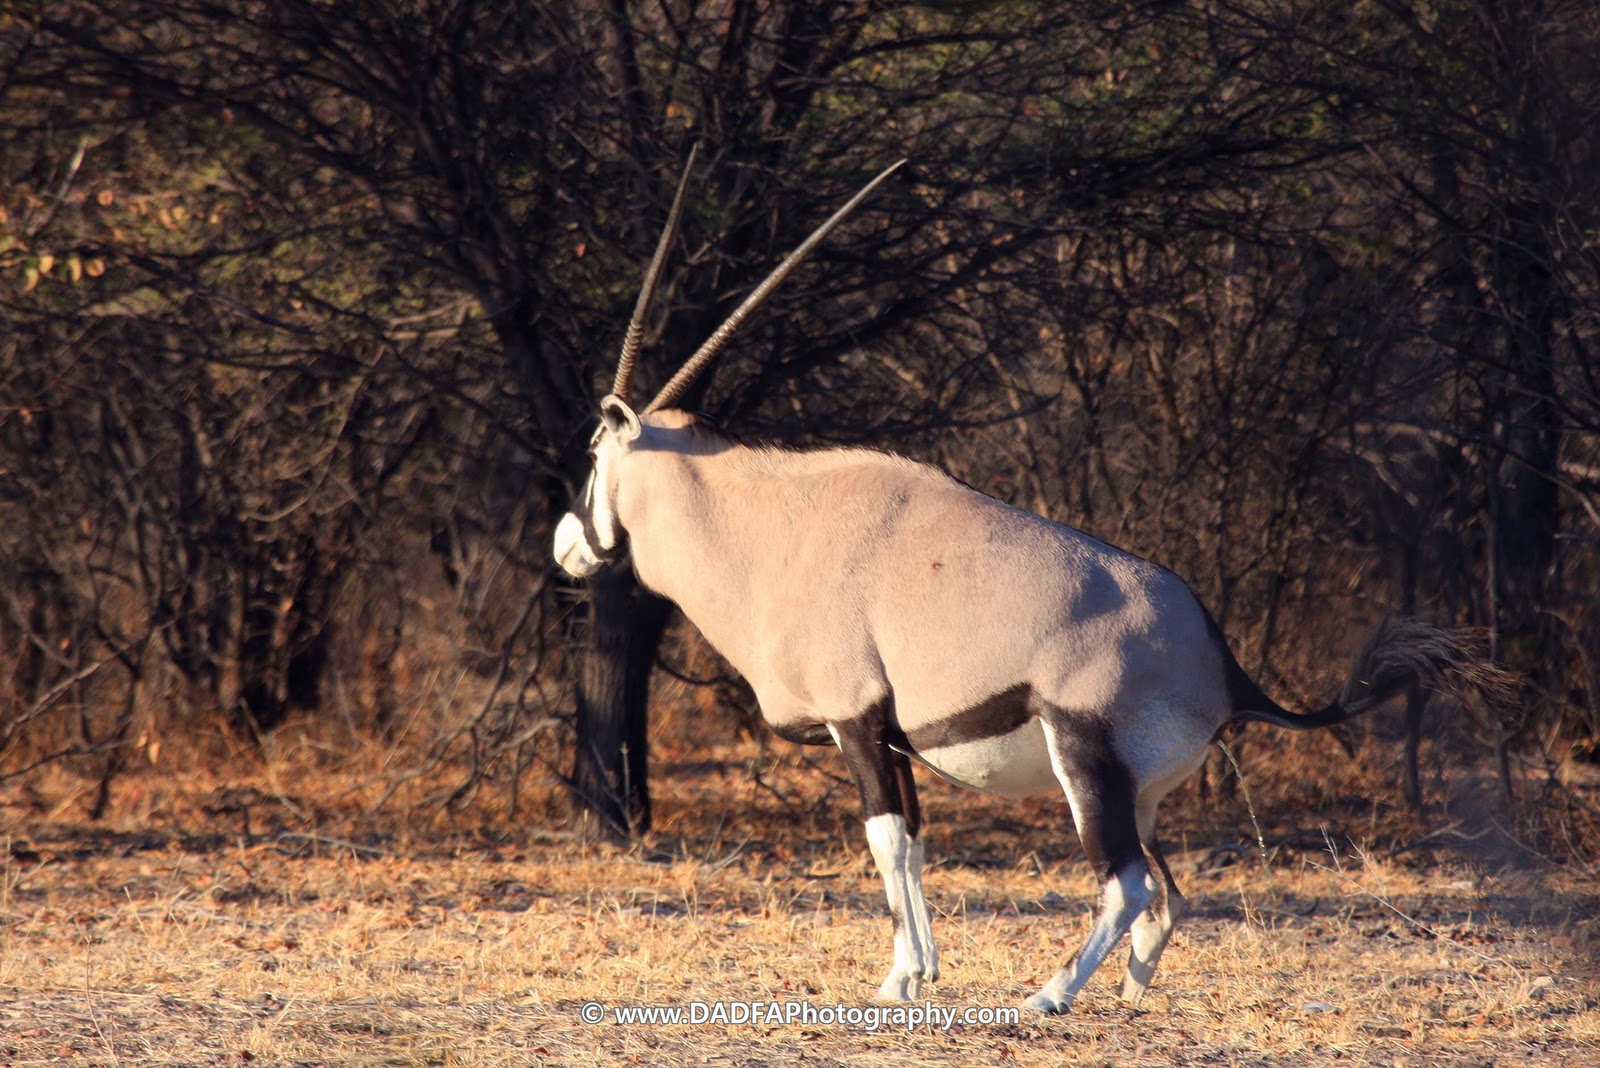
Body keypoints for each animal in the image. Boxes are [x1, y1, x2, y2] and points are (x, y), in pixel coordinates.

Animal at [552, 152, 1499, 1013]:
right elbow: (916, 845)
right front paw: (917, 974)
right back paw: (1130, 993)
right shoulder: (894, 738)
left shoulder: (855, 721)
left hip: (1085, 759)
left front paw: (897, 982)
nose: (567, 546)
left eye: (595, 453)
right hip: (1137, 794)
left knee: (1128, 884)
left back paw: (1051, 994)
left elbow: (886, 843)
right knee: (1165, 894)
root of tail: (1224, 661)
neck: (767, 521)